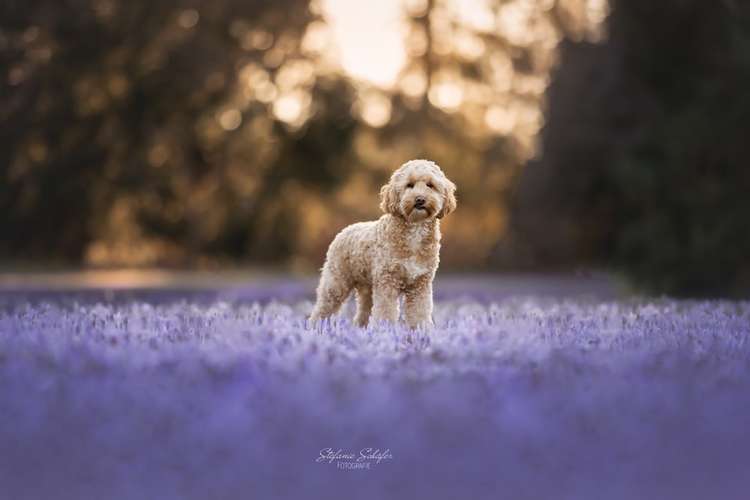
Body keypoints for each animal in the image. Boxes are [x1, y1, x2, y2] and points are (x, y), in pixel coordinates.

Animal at [312, 159, 458, 328]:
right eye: (409, 185)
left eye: (430, 185)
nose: (420, 199)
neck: (414, 230)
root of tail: (344, 230)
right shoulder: (387, 282)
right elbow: (385, 312)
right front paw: (385, 329)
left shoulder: (420, 284)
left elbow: (419, 313)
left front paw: (421, 330)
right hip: (336, 282)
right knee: (323, 309)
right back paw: (316, 327)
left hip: (367, 288)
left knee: (362, 314)